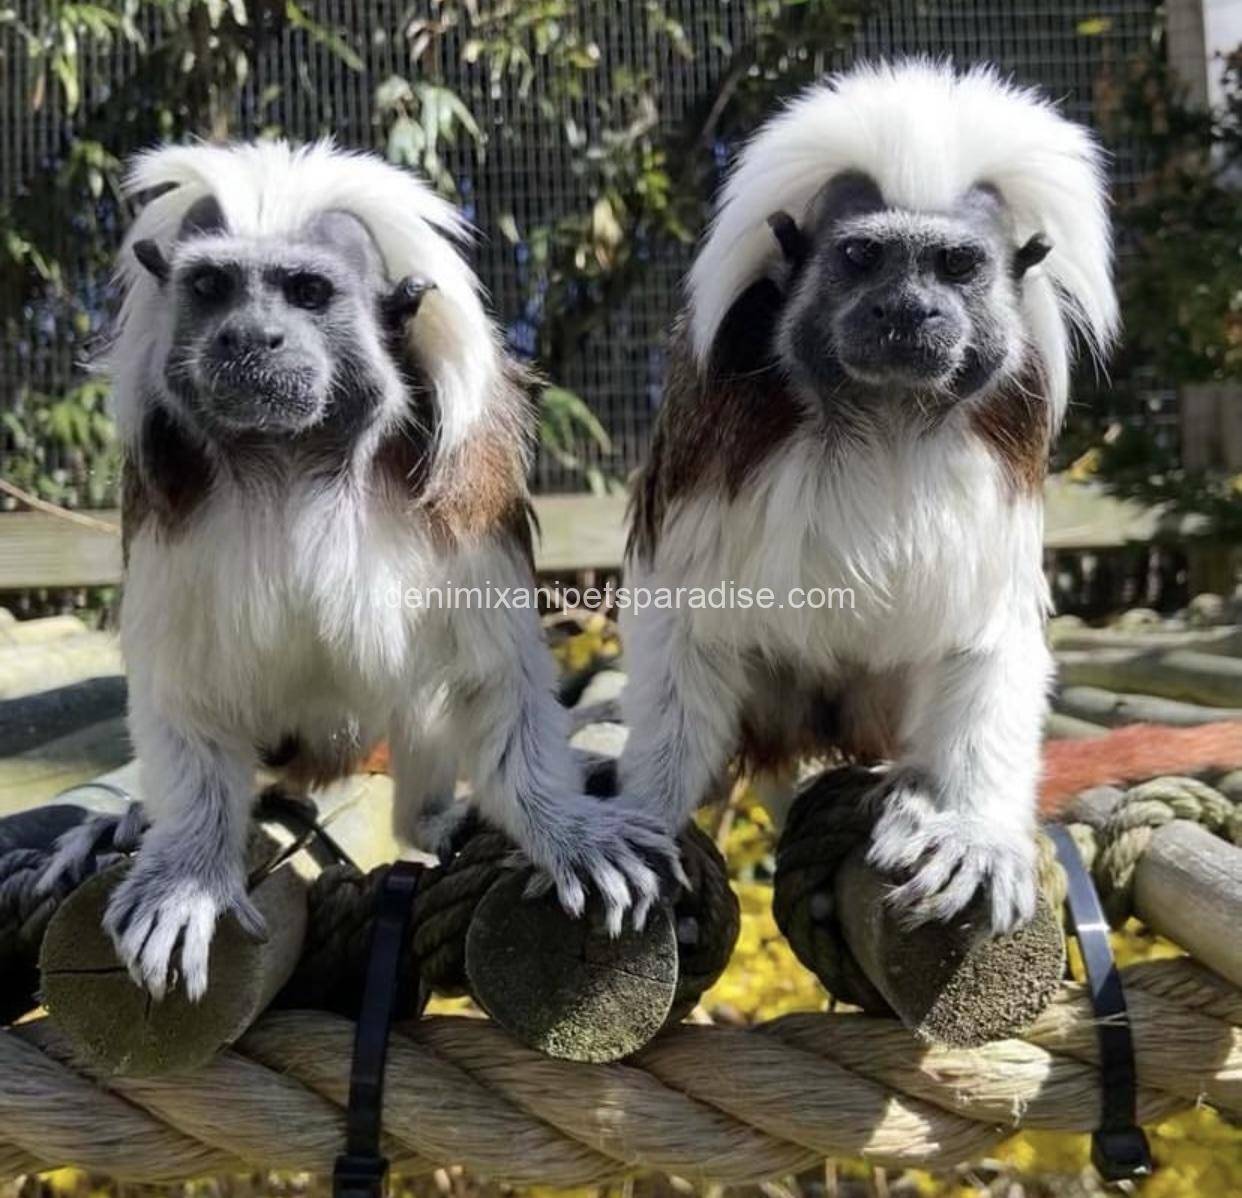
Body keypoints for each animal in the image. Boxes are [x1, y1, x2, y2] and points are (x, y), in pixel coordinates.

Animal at [42, 141, 679, 1001]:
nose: (249, 338)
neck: (292, 456)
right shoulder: (165, 497)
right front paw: (187, 872)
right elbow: (183, 692)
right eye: (212, 288)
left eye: (307, 293)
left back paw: (431, 818)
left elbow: (489, 679)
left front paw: (562, 827)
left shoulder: (466, 493)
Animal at [620, 60, 1119, 935]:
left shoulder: (1008, 446)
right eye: (861, 257)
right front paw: (646, 817)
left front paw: (975, 832)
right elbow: (686, 622)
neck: (884, 414)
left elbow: (987, 633)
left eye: (956, 267)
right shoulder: (710, 439)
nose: (908, 310)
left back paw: (912, 790)